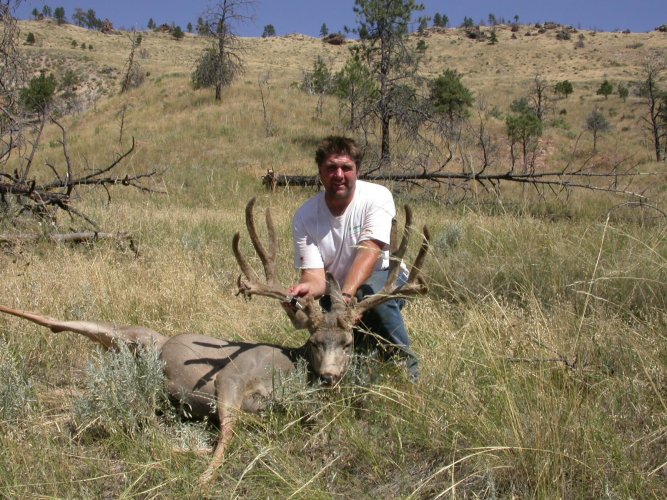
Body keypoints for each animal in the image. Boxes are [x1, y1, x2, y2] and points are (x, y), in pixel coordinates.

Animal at [0, 198, 429, 485]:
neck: (287, 367)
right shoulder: (232, 376)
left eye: (349, 342)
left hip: (129, 344)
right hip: (133, 335)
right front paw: (205, 475)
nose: (329, 377)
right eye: (314, 342)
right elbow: (226, 434)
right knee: (63, 322)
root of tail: (154, 342)